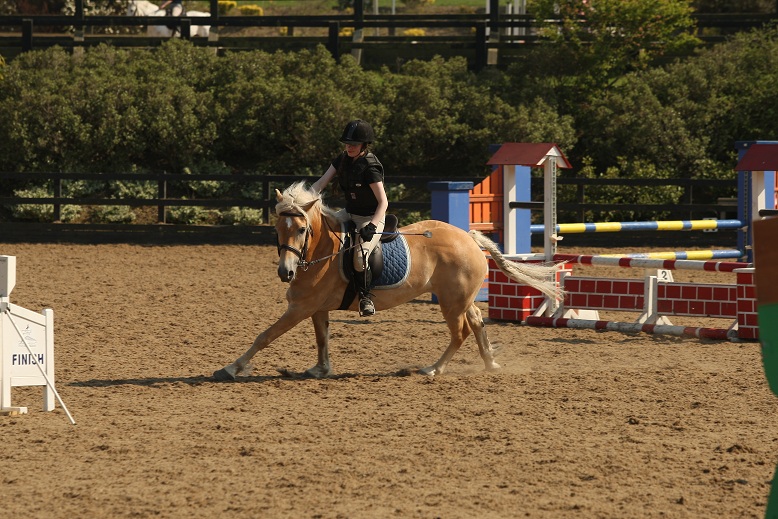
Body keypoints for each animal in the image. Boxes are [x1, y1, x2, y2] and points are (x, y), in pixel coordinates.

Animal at [213, 181, 562, 381]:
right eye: (277, 229)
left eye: (301, 230)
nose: (285, 272)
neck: (322, 250)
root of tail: (470, 238)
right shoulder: (316, 308)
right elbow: (322, 339)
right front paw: (321, 369)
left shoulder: (300, 308)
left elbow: (265, 336)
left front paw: (231, 368)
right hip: (458, 299)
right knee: (476, 322)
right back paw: (490, 363)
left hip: (451, 303)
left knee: (460, 332)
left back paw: (434, 369)